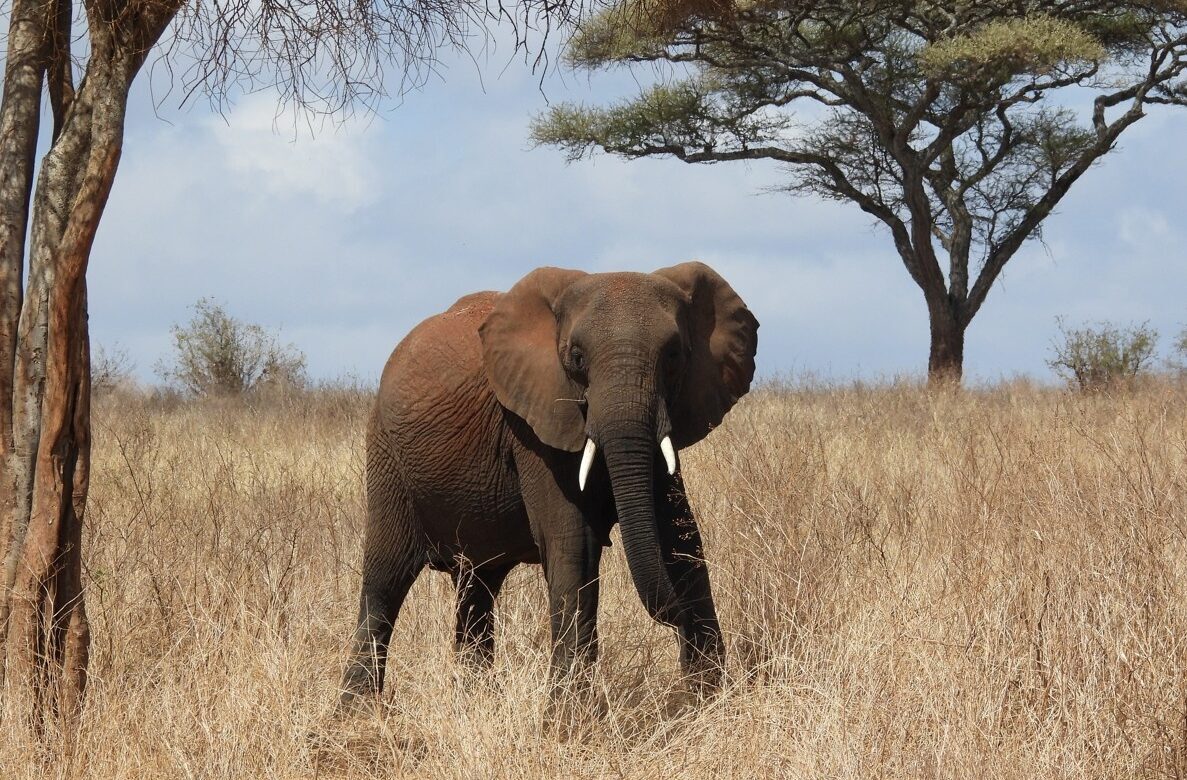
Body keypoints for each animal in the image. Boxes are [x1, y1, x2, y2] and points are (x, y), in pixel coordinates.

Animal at [338, 261, 758, 714]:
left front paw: (708, 702)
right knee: (385, 578)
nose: (673, 616)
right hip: (386, 456)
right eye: (576, 357)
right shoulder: (531, 427)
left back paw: (474, 698)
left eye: (675, 355)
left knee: (476, 587)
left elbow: (682, 541)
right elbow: (574, 545)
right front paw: (568, 715)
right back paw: (355, 711)